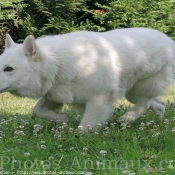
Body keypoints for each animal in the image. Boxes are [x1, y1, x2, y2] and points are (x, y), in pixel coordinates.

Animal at [0, 28, 175, 130]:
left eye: (9, 69)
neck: (57, 64)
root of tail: (169, 41)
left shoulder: (98, 100)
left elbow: (83, 129)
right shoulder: (55, 96)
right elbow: (38, 110)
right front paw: (63, 118)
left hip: (141, 87)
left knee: (144, 103)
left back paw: (128, 118)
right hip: (131, 92)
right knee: (158, 104)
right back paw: (156, 124)